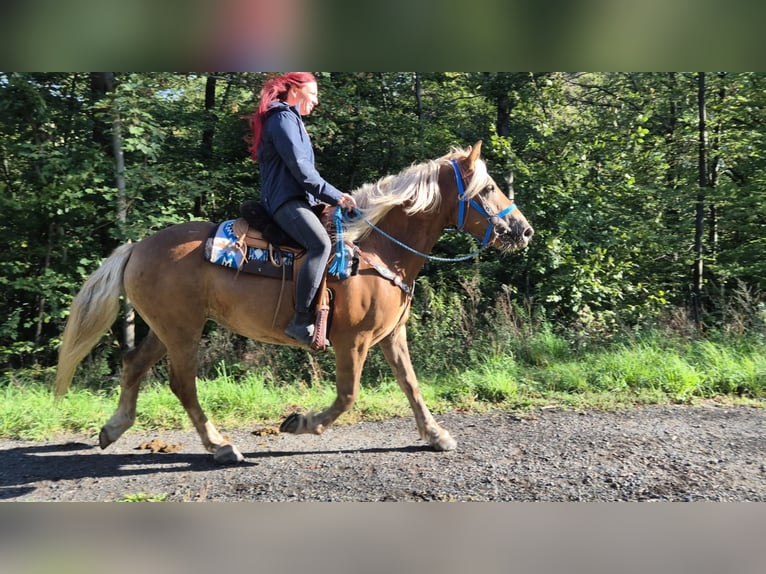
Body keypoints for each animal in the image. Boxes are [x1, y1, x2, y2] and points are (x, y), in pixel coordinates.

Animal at [54, 141, 534, 463]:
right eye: (487, 188)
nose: (524, 230)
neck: (377, 250)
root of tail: (137, 246)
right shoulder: (353, 342)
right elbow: (347, 395)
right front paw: (300, 423)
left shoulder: (391, 335)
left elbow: (411, 386)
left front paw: (436, 435)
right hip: (183, 331)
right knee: (182, 384)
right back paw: (220, 446)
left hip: (166, 328)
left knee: (135, 364)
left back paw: (115, 428)